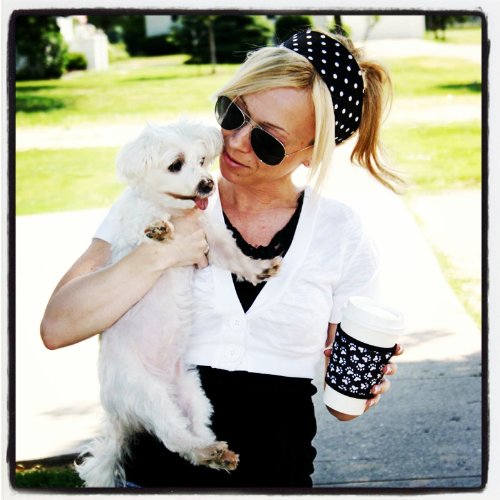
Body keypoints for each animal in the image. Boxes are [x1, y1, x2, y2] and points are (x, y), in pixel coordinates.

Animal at [75, 120, 281, 487]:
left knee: (191, 434)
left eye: (201, 160)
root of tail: (117, 413)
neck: (175, 209)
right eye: (175, 165)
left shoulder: (214, 242)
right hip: (146, 393)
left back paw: (214, 453)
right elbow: (146, 229)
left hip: (193, 394)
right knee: (173, 437)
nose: (207, 184)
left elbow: (237, 259)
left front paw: (259, 269)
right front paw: (159, 229)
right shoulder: (135, 233)